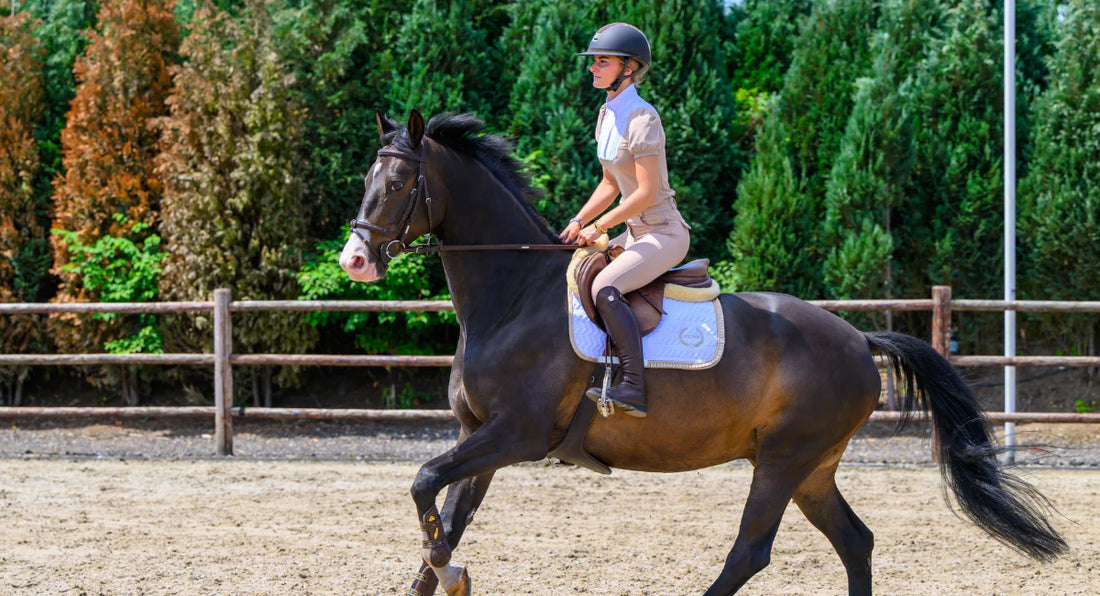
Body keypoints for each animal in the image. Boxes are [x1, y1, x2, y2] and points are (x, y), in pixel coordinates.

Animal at [339, 110, 1066, 595]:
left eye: (399, 185)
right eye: (367, 176)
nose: (355, 261)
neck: (513, 294)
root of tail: (859, 338)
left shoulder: (515, 433)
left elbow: (424, 483)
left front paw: (451, 569)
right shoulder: (480, 437)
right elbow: (444, 519)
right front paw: (445, 570)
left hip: (783, 458)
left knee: (751, 551)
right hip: (813, 466)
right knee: (854, 541)